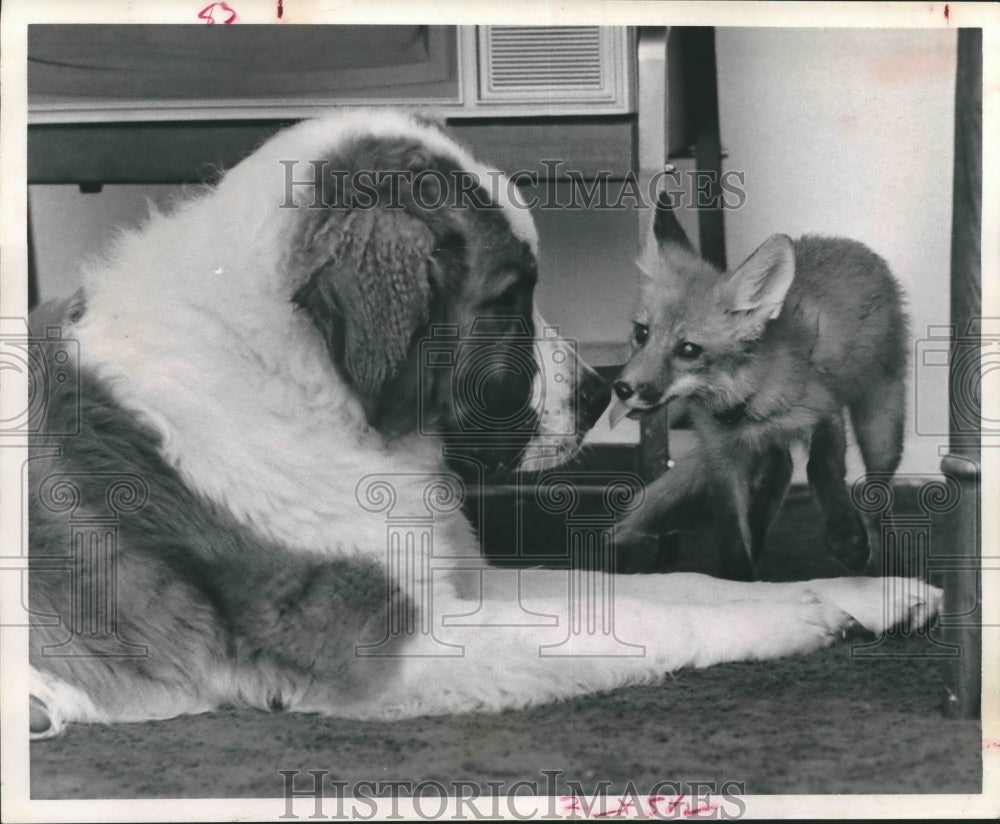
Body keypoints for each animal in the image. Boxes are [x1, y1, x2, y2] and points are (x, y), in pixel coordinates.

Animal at [29, 111, 936, 740]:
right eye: (510, 297)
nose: (601, 394)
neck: (296, 376)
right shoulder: (392, 648)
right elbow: (646, 618)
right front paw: (802, 617)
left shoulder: (462, 585)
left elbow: (679, 587)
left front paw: (864, 593)